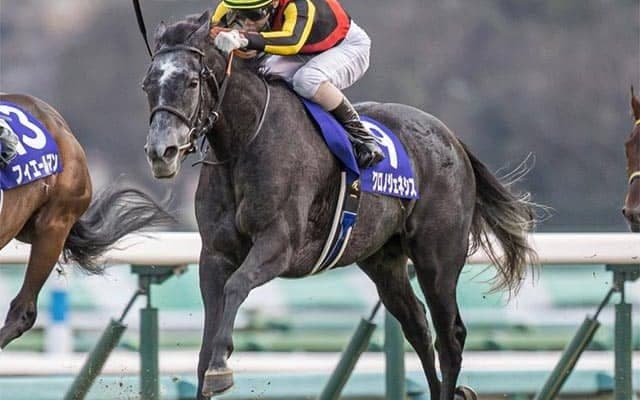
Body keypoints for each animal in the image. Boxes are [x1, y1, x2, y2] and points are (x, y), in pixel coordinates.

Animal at [141, 12, 538, 400]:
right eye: (148, 85)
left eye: (192, 83)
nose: (161, 152)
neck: (246, 142)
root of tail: (451, 138)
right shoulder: (215, 254)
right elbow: (207, 337)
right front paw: (212, 366)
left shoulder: (279, 244)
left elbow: (237, 286)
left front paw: (222, 368)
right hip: (383, 260)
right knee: (418, 326)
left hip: (437, 257)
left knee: (450, 337)